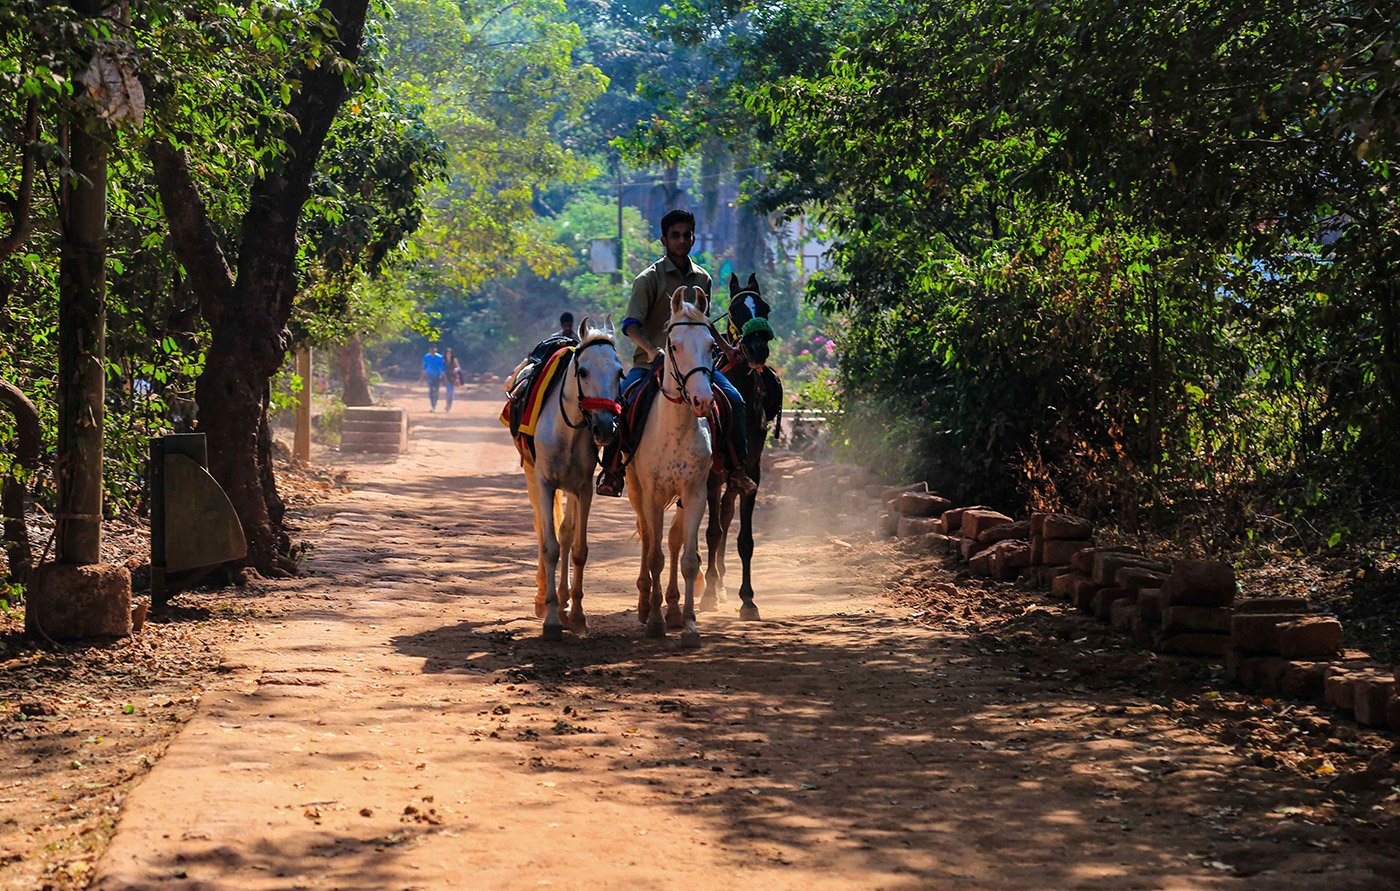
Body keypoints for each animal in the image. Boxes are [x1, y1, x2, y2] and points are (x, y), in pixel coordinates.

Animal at [523, 318, 621, 641]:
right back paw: (544, 599)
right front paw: (552, 619)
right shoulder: (544, 483)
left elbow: (578, 549)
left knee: (566, 532)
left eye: (620, 373)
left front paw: (576, 614)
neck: (567, 431)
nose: (604, 426)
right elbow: (550, 546)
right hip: (531, 476)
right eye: (583, 371)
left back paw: (564, 601)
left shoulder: (583, 488)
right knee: (543, 529)